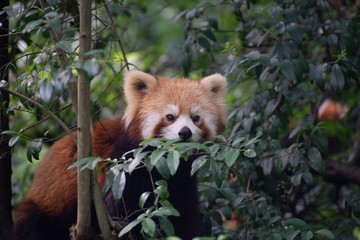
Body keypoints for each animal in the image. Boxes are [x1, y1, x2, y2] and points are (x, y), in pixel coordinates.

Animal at [14, 70, 228, 239]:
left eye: (196, 118)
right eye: (170, 117)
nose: (185, 132)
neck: (164, 163)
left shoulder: (181, 179)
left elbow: (184, 213)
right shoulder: (124, 167)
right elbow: (118, 209)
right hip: (44, 211)